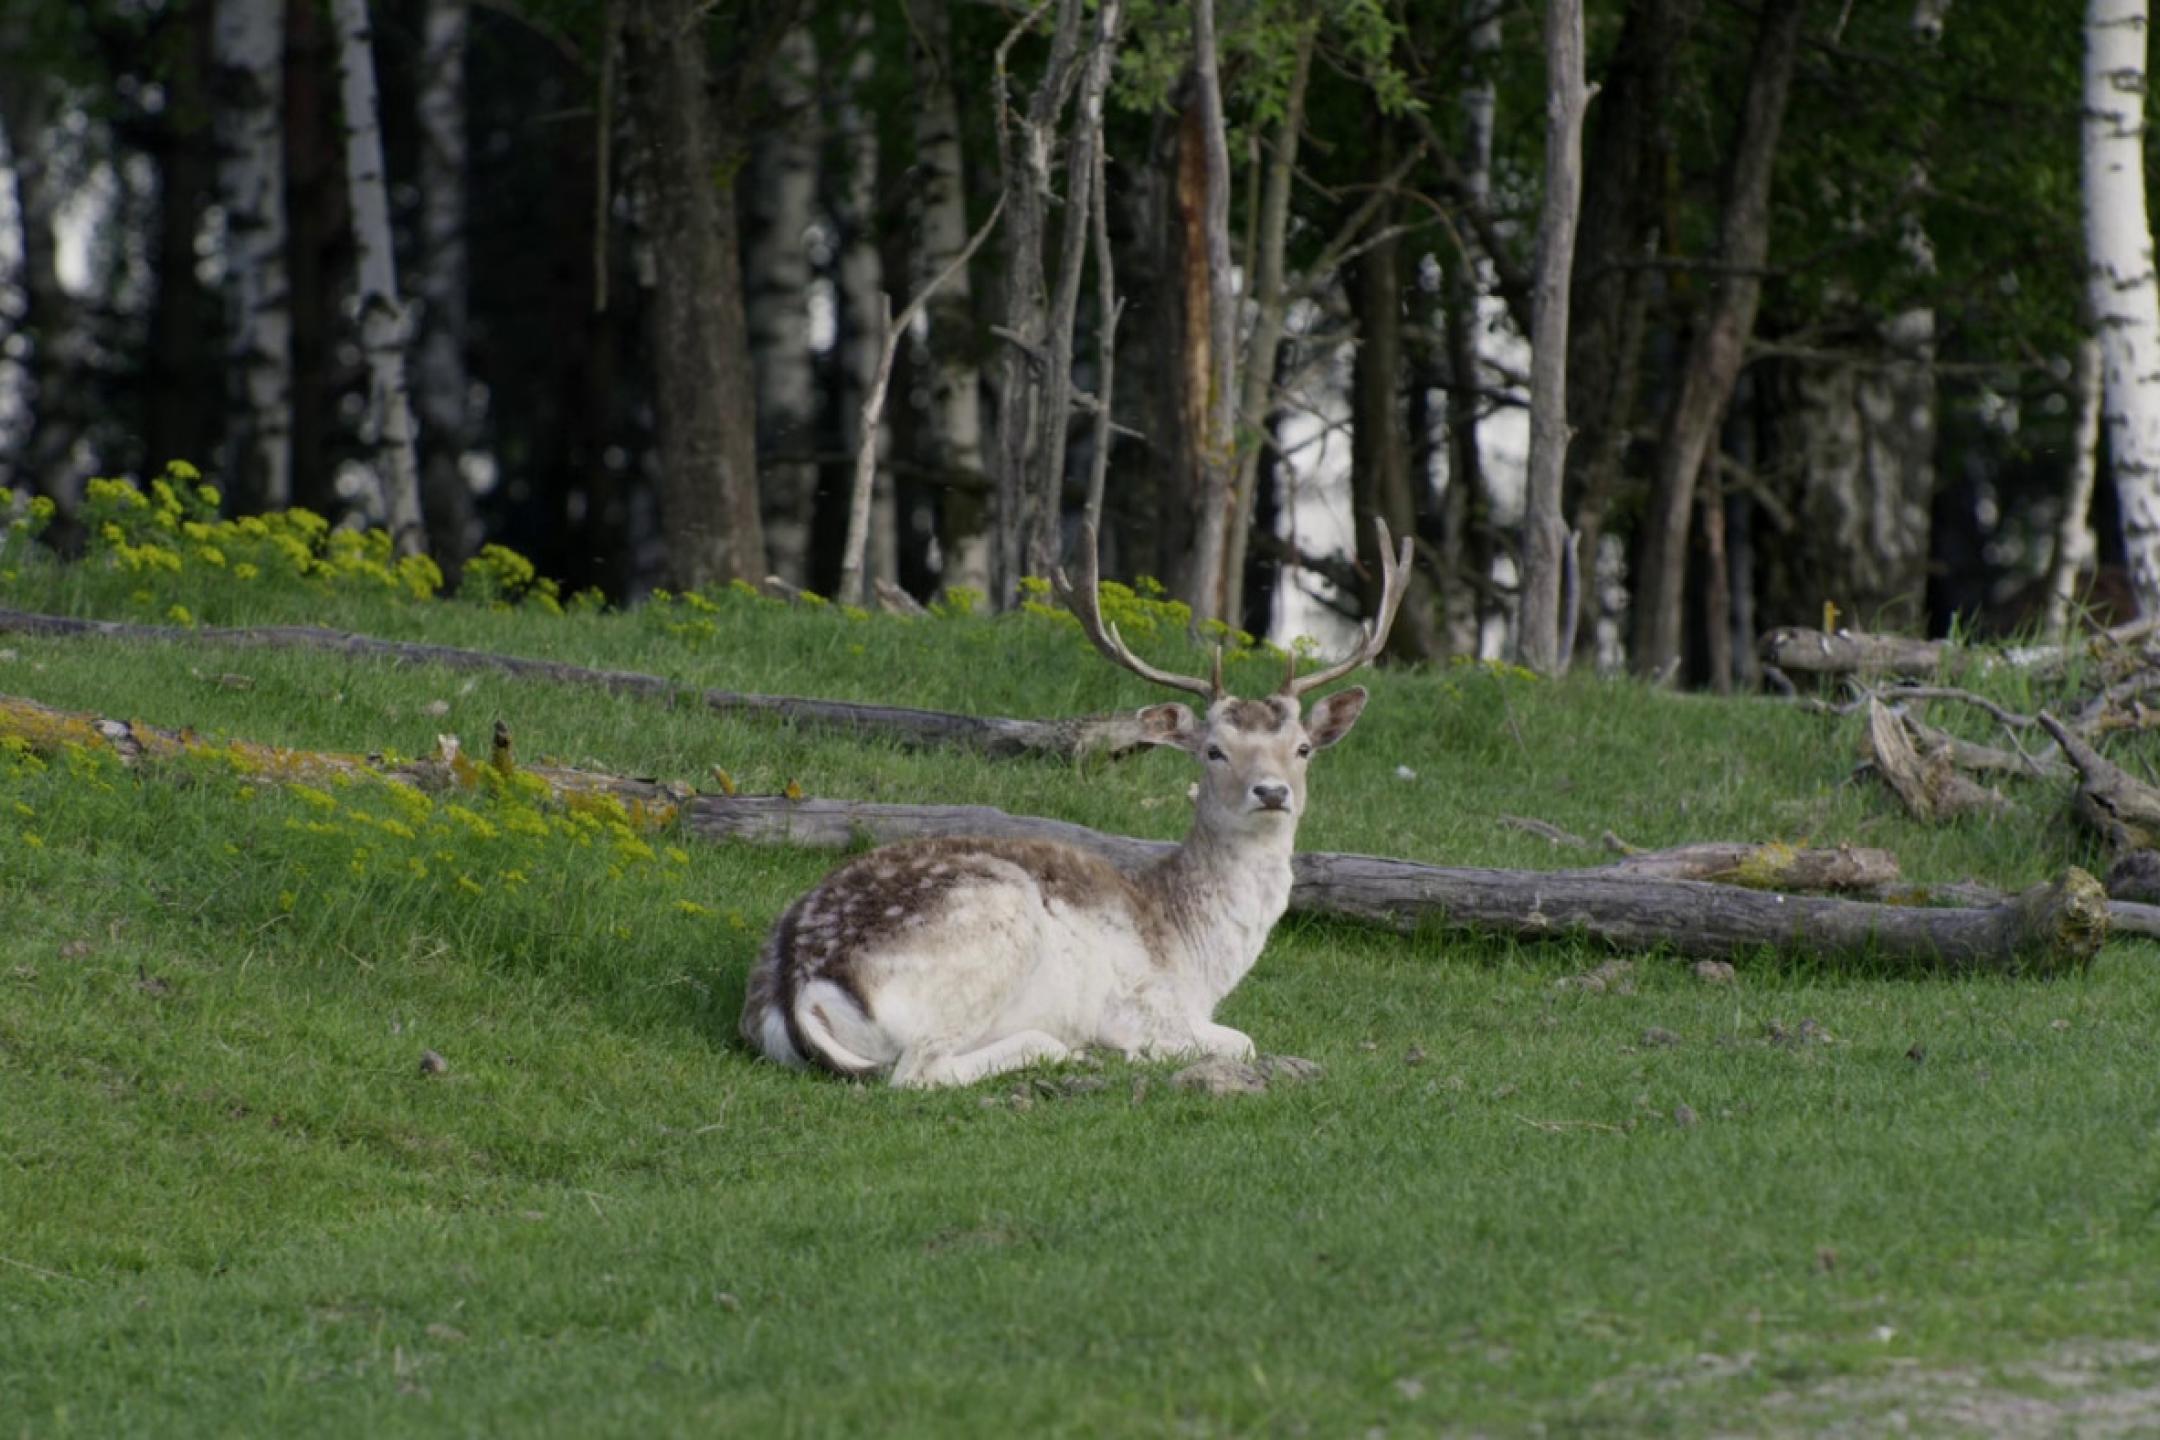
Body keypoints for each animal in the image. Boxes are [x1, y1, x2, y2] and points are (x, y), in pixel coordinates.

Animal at [739, 519, 1411, 1088]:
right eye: (1214, 751)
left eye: (1302, 748)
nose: (1271, 792)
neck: (1196, 957)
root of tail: (795, 990)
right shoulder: (1146, 1005)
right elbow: (1240, 1041)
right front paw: (1136, 1052)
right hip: (991, 931)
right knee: (919, 1071)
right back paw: (1071, 1050)